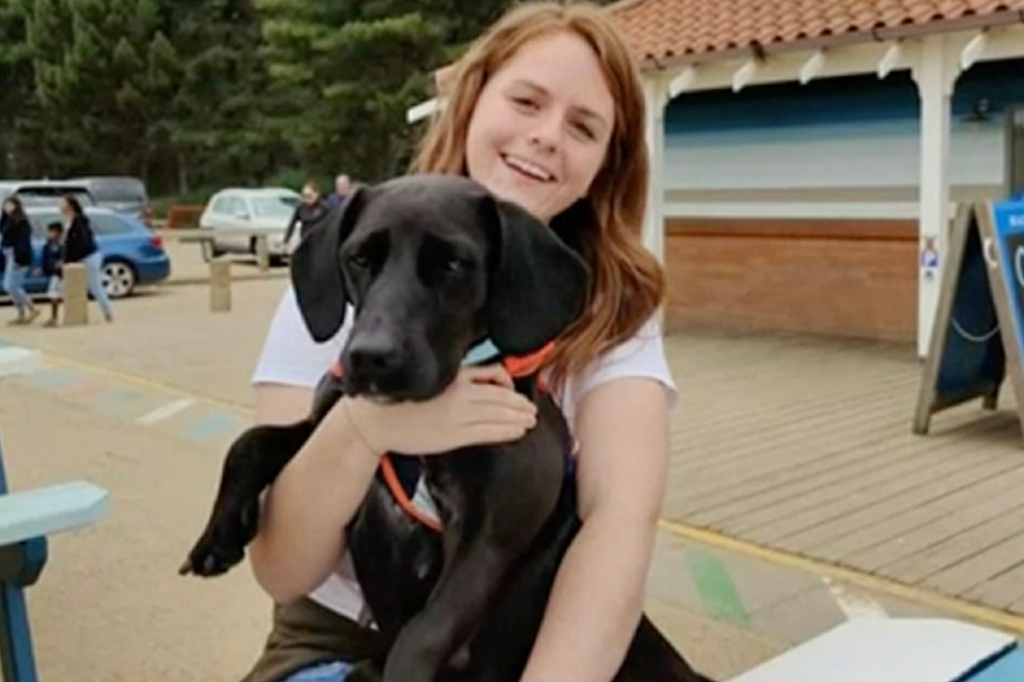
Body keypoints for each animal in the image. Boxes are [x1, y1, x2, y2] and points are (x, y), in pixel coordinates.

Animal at [182, 175, 712, 679]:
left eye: (455, 264)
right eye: (358, 258)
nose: (370, 358)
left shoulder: (488, 537)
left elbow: (421, 635)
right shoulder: (325, 430)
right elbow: (249, 442)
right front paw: (218, 535)